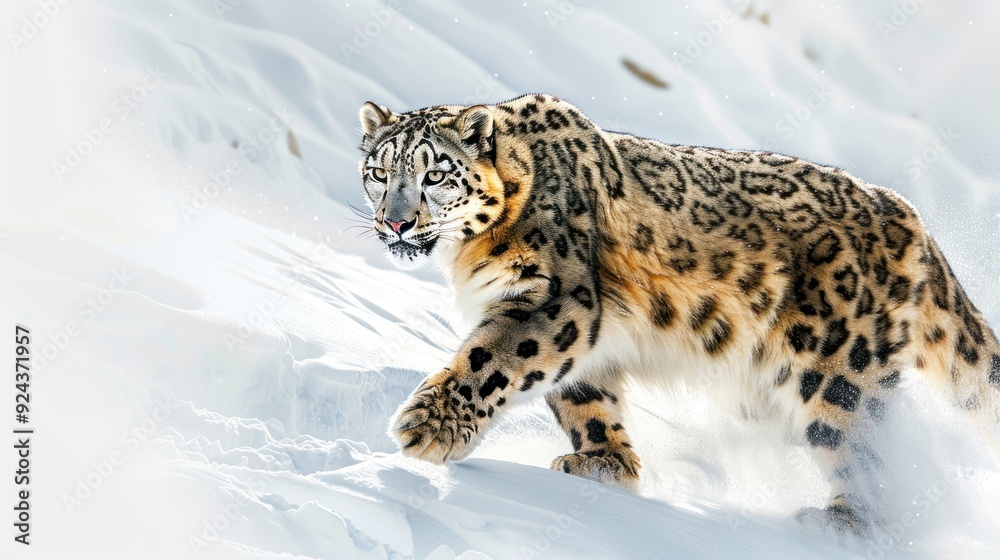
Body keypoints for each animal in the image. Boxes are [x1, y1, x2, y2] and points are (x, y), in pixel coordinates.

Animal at [355, 93, 1000, 532]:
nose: (396, 222)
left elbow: (492, 360)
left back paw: (841, 521)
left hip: (839, 373)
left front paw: (428, 429)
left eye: (435, 174)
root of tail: (906, 214)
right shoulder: (588, 335)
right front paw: (606, 464)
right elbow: (584, 399)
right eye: (379, 172)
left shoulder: (556, 300)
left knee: (868, 452)